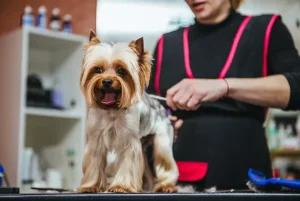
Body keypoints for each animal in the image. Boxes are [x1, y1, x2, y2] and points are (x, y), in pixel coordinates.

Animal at [77, 29, 178, 193]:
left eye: (121, 71)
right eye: (98, 70)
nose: (106, 81)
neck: (112, 109)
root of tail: (161, 106)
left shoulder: (130, 142)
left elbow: (128, 165)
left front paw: (120, 186)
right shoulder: (96, 140)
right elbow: (94, 164)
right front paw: (90, 186)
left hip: (162, 140)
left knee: (165, 162)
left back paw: (166, 186)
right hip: (143, 146)